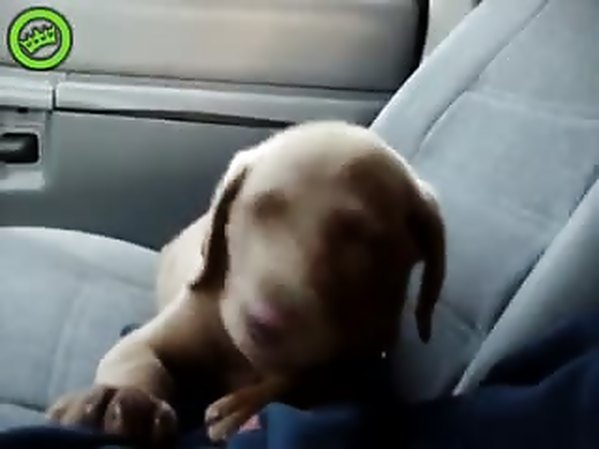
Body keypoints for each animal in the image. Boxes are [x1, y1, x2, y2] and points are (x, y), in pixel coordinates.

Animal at [46, 121, 446, 447]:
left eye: (362, 239)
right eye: (259, 208)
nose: (265, 323)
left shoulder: (366, 363)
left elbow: (316, 375)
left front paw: (241, 408)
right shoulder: (166, 329)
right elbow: (137, 360)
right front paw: (125, 401)